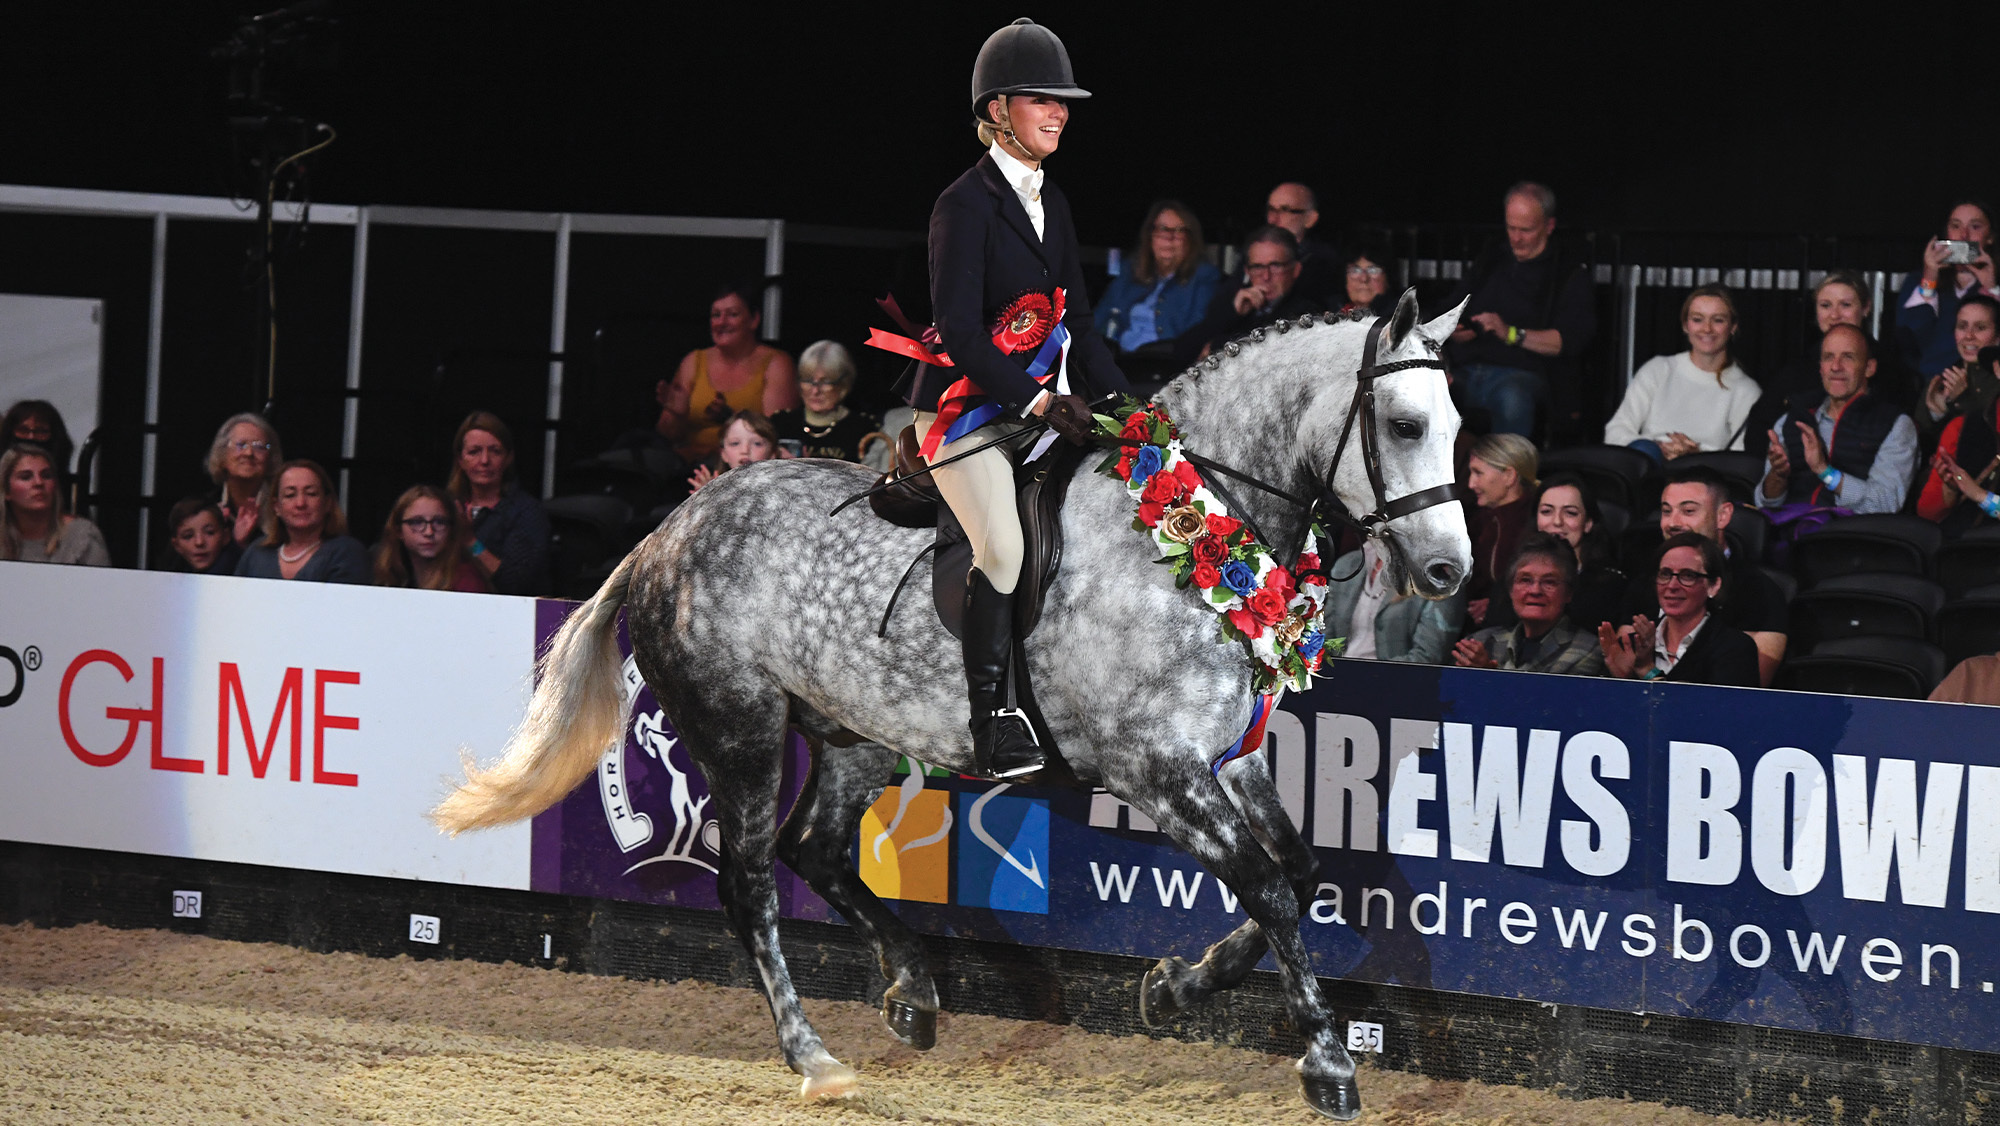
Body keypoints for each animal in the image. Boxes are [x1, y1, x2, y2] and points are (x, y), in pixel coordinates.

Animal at [432, 289, 1472, 1121]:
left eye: (1458, 426)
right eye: (1404, 425)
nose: (1449, 574)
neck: (1188, 530)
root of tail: (664, 532)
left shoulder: (1229, 757)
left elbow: (1297, 874)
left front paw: (1176, 989)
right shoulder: (1154, 770)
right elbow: (1266, 886)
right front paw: (1326, 1061)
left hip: (854, 734)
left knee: (816, 850)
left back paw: (913, 992)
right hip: (740, 729)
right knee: (751, 882)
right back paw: (815, 1057)